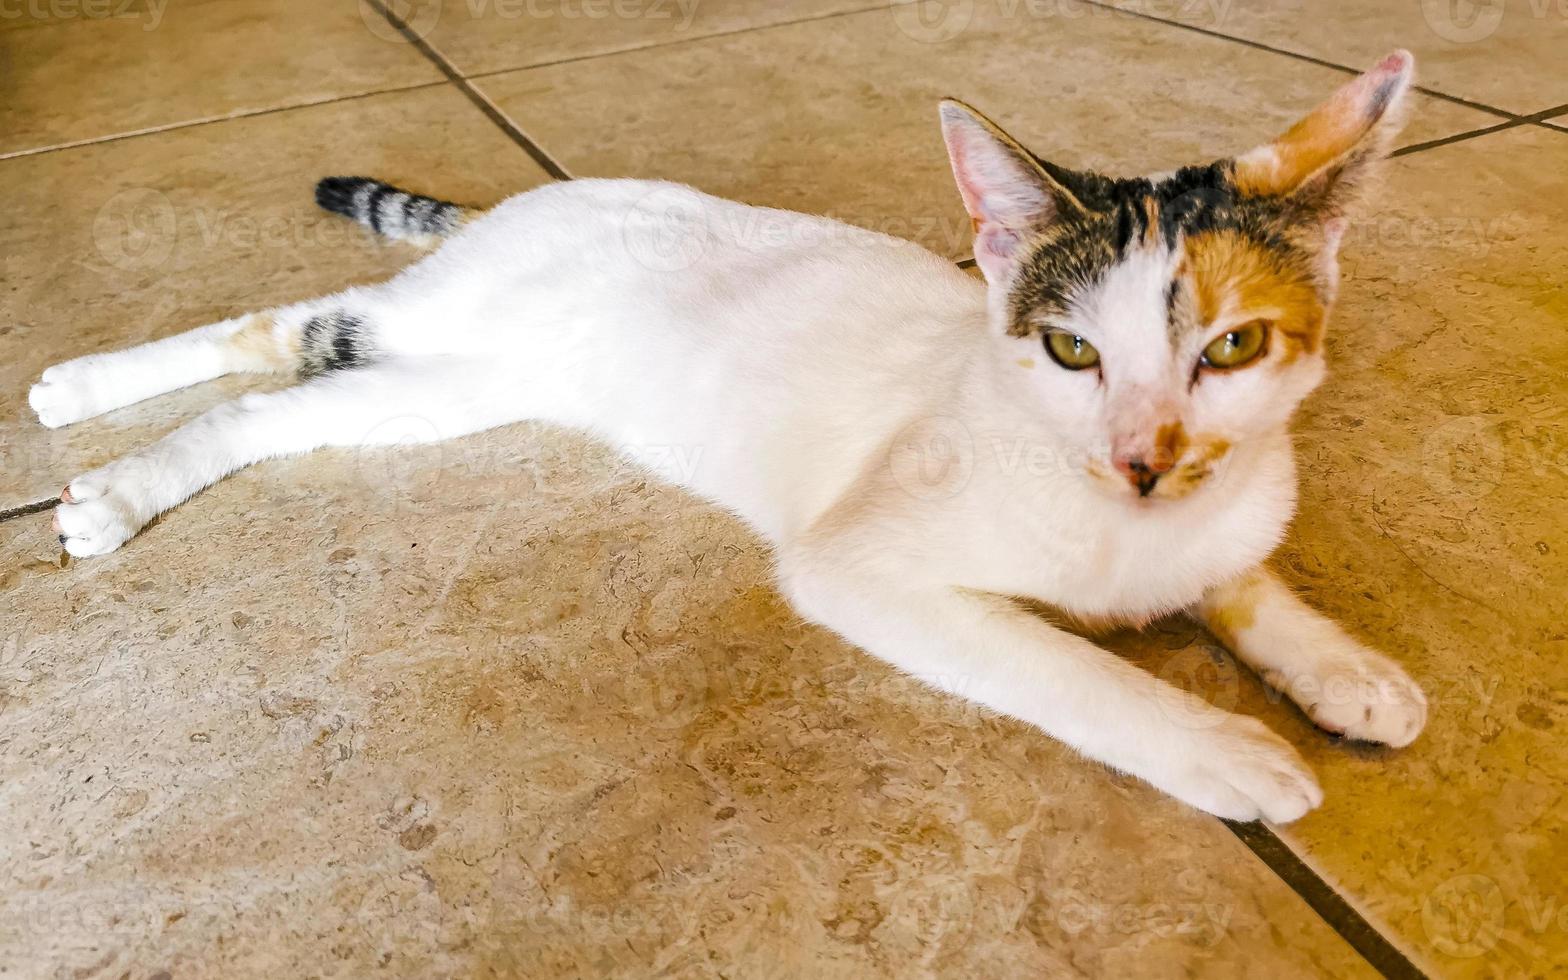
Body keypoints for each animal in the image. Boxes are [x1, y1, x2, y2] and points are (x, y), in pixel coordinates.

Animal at [24, 51, 1430, 815]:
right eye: (1070, 350)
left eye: (1230, 347)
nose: (1145, 456)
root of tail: (536, 198)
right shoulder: (858, 564)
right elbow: (1067, 661)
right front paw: (1217, 743)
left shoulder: (1222, 498)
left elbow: (1240, 572)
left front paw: (1341, 664)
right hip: (443, 323)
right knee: (270, 334)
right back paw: (91, 428)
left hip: (455, 384)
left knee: (284, 382)